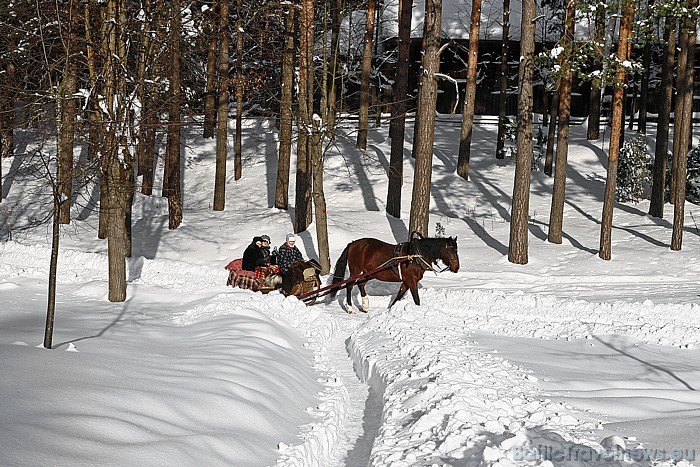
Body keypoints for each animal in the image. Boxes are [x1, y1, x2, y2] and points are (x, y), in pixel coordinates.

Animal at [330, 233, 460, 312]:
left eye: (456, 250)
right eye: (450, 252)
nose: (456, 268)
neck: (415, 256)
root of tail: (352, 244)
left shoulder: (406, 282)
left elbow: (398, 296)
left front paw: (390, 310)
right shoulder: (411, 281)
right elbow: (416, 299)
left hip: (369, 273)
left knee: (361, 284)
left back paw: (365, 306)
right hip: (356, 270)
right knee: (350, 285)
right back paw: (350, 307)